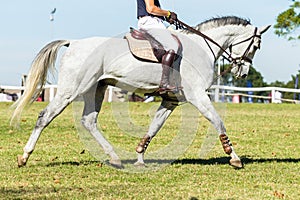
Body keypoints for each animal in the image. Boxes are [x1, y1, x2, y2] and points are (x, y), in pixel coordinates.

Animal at [11, 16, 270, 169]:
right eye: (256, 46)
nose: (242, 73)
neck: (201, 48)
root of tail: (74, 43)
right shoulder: (197, 95)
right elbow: (218, 121)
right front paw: (233, 156)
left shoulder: (171, 101)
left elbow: (154, 128)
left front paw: (139, 157)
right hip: (70, 89)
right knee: (45, 116)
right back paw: (24, 156)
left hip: (97, 88)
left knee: (89, 121)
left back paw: (115, 158)